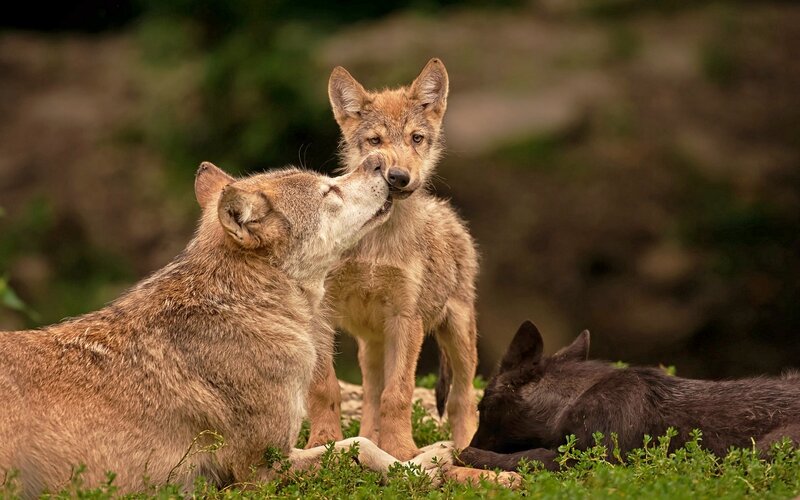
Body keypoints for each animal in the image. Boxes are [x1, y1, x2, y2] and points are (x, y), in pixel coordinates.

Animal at [305, 58, 479, 460]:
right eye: (375, 142)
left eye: (416, 138)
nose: (397, 177)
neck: (375, 242)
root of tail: (448, 214)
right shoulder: (322, 315)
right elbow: (325, 388)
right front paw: (322, 443)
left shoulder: (406, 318)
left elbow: (398, 394)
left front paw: (401, 452)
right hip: (372, 345)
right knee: (370, 395)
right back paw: (367, 442)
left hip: (458, 334)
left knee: (463, 400)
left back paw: (465, 450)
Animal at [458, 321, 800, 472]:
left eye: (482, 407)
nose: (472, 440)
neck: (560, 413)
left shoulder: (595, 455)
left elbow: (524, 458)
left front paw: (467, 454)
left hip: (766, 450)